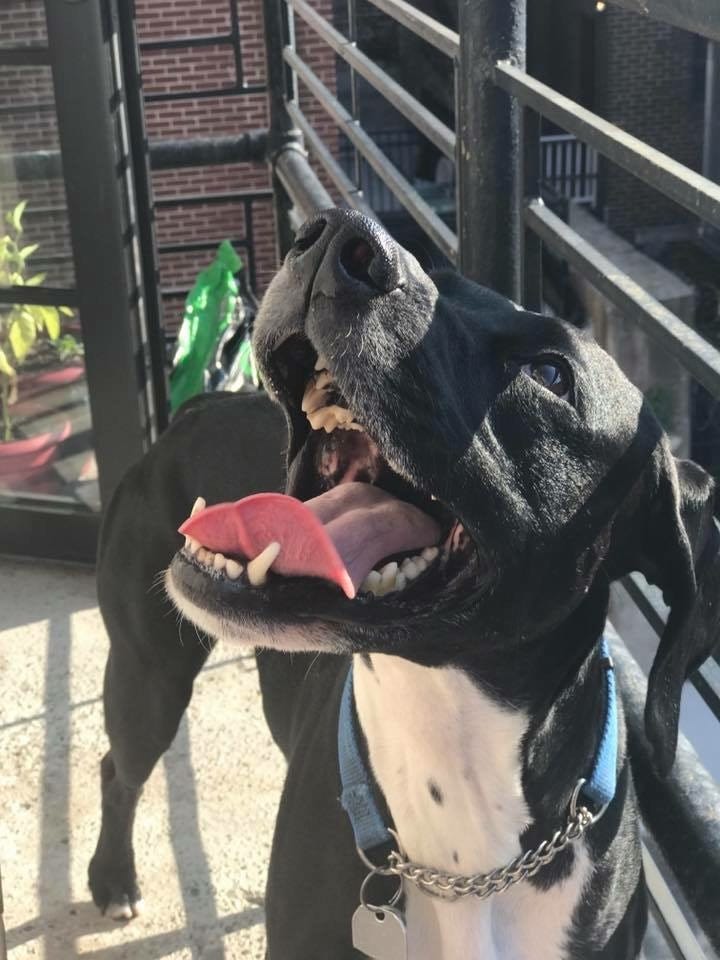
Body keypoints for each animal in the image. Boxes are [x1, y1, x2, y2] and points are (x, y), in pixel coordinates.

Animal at [90, 210, 720, 960]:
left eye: (549, 373)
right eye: (437, 274)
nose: (337, 237)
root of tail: (197, 407)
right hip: (147, 673)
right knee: (117, 768)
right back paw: (113, 878)